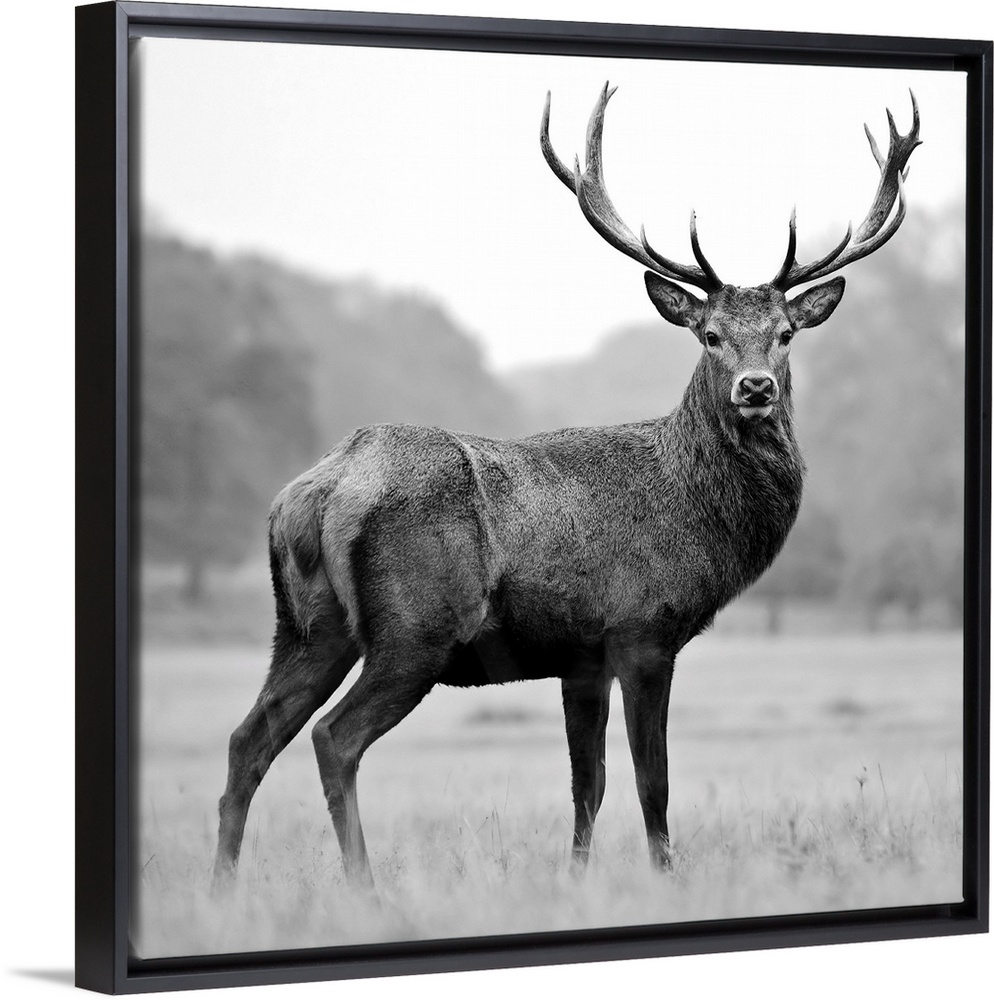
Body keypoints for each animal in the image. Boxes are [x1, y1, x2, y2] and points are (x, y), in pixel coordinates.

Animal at [212, 83, 921, 889]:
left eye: (786, 333)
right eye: (709, 334)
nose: (756, 388)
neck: (695, 516)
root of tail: (319, 491)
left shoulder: (580, 658)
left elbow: (589, 782)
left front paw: (576, 881)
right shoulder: (643, 630)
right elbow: (651, 779)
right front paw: (665, 879)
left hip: (306, 625)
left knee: (248, 738)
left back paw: (223, 890)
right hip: (414, 627)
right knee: (335, 737)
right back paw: (364, 887)